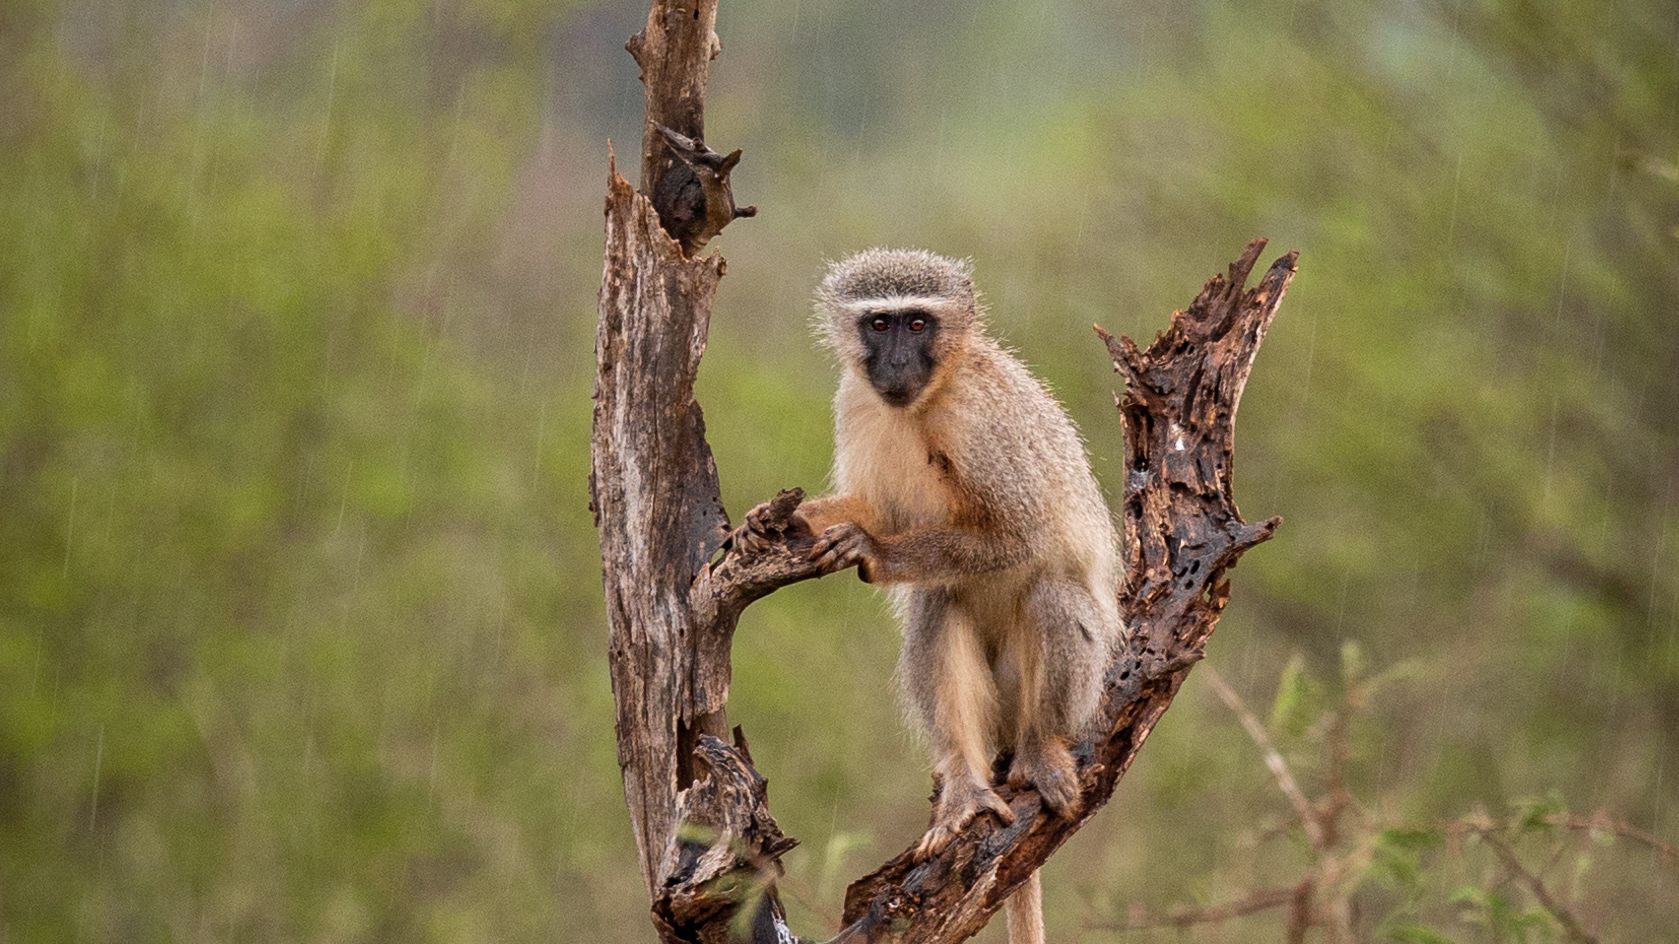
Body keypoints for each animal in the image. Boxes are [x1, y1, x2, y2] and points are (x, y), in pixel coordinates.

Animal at [733, 248, 1123, 944]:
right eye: (879, 323)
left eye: (918, 323)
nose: (895, 364)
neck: (927, 399)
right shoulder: (855, 401)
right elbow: (880, 509)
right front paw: (781, 520)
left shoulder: (982, 418)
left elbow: (1020, 535)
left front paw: (873, 551)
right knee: (937, 606)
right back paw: (965, 788)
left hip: (1056, 691)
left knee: (1052, 595)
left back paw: (1042, 752)